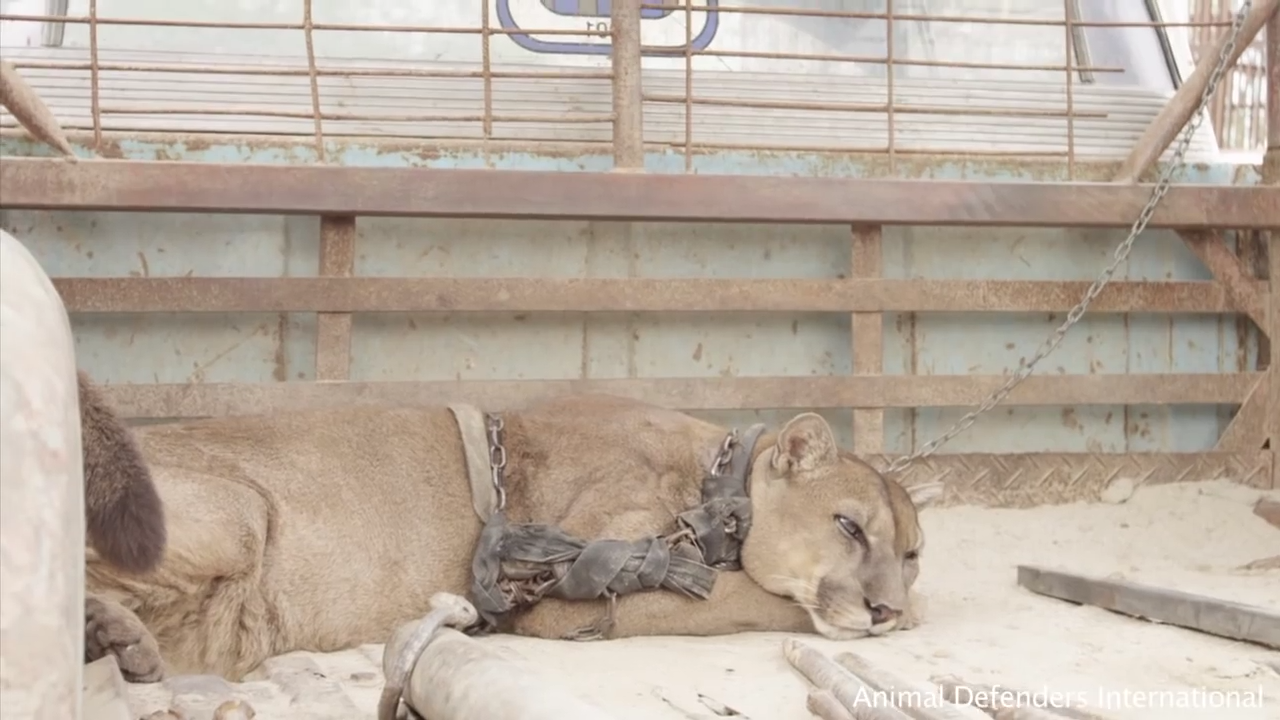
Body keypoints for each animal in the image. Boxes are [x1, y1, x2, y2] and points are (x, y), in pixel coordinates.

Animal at [87, 392, 942, 676]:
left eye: (911, 553)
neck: (715, 481)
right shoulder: (566, 595)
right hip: (240, 515)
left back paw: (120, 640)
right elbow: (741, 598)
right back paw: (113, 632)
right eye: (847, 526)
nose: (887, 608)